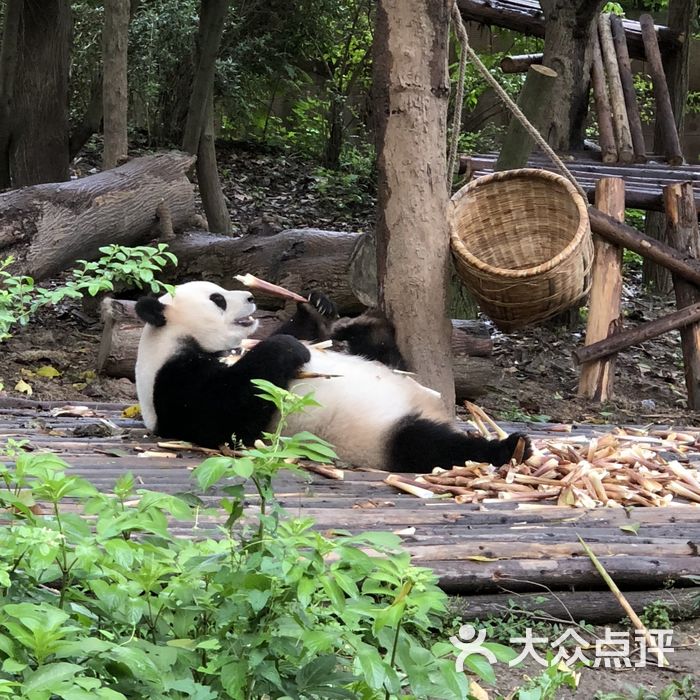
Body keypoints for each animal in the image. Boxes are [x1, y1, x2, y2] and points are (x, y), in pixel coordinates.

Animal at [135, 282, 532, 474]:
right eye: (217, 298)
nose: (249, 297)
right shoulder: (174, 384)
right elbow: (226, 414)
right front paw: (289, 348)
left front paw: (317, 307)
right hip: (377, 436)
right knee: (432, 447)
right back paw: (509, 448)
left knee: (384, 355)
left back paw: (369, 325)